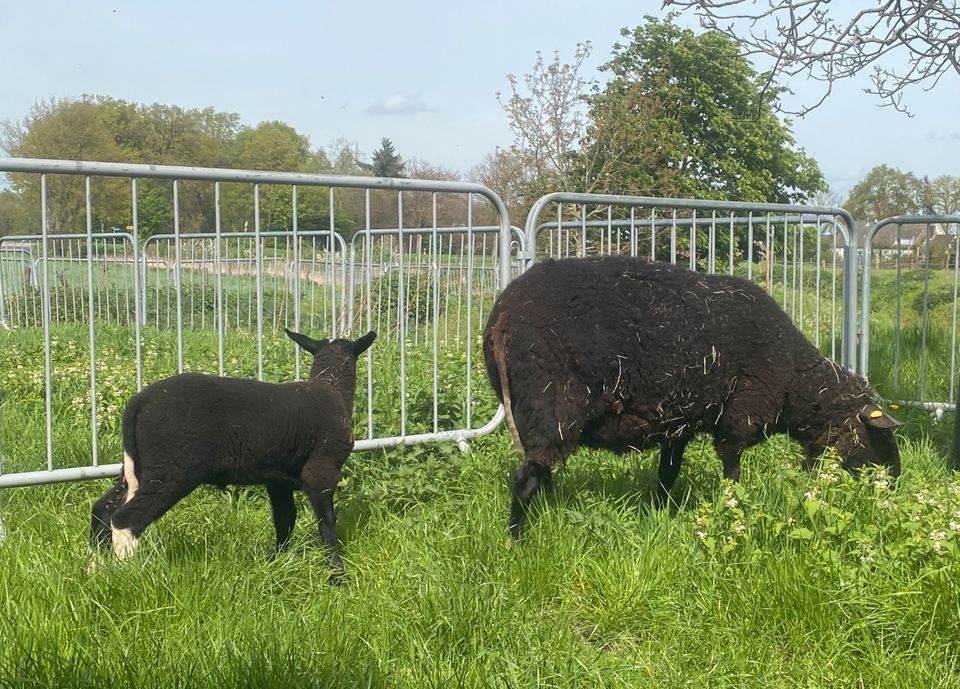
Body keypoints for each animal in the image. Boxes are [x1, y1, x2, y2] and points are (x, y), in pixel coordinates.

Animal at [90, 330, 376, 580]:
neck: (332, 389)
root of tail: (138, 404)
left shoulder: (277, 479)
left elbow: (284, 518)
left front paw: (277, 560)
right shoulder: (321, 469)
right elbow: (327, 522)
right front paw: (337, 574)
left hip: (136, 466)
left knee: (103, 510)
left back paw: (96, 570)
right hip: (171, 468)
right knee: (125, 518)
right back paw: (126, 575)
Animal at [484, 255, 904, 540]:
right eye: (879, 436)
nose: (895, 486)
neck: (794, 381)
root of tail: (504, 311)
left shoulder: (678, 422)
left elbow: (667, 474)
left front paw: (660, 514)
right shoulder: (737, 420)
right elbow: (733, 477)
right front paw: (734, 513)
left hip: (535, 410)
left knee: (539, 469)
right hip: (552, 402)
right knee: (524, 479)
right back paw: (515, 540)